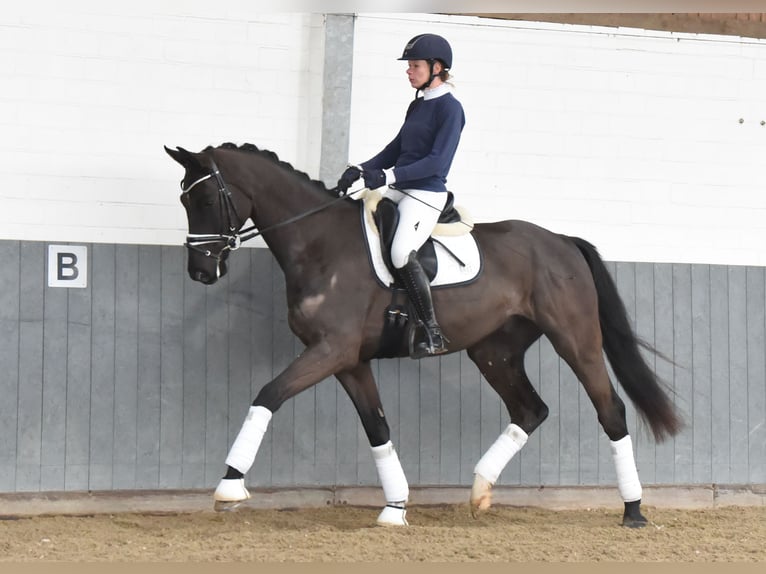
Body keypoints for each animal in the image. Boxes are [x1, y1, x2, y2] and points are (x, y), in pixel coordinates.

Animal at [166, 142, 684, 528]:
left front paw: (229, 486)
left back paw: (633, 511)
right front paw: (395, 508)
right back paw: (479, 491)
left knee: (610, 410)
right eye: (184, 200)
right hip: (494, 351)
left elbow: (268, 394)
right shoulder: (349, 359)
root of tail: (562, 242)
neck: (319, 244)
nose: (200, 272)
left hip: (575, 340)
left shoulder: (330, 350)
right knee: (530, 410)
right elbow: (378, 428)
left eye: (206, 200)